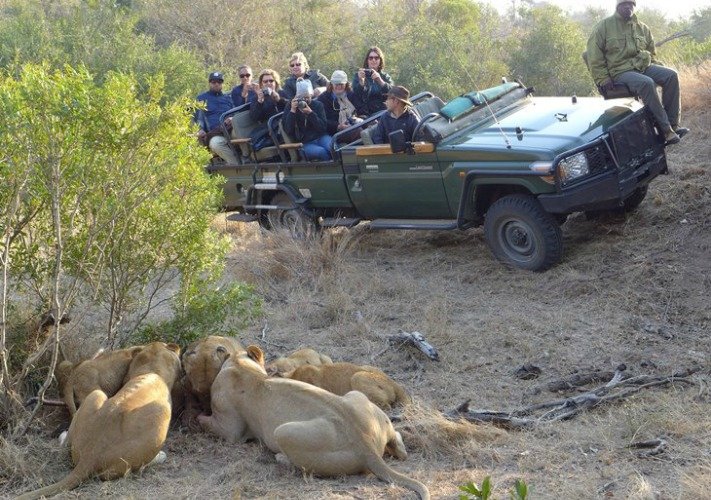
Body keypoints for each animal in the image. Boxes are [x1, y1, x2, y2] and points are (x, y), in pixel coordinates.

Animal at [19, 342, 182, 498]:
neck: (152, 370)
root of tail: (90, 456)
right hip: (157, 413)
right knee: (136, 467)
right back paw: (160, 456)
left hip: (95, 395)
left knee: (64, 447)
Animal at [199, 346, 428, 500]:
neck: (241, 366)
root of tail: (367, 447)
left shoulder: (229, 430)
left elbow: (204, 422)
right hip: (355, 395)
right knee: (399, 444)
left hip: (282, 431)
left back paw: (280, 458)